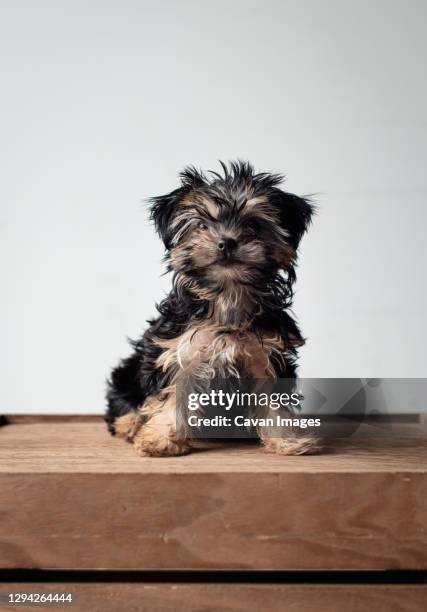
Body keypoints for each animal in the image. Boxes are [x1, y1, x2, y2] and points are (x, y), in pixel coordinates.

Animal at [107, 160, 320, 456]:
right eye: (201, 225)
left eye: (253, 225)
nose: (226, 242)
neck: (227, 297)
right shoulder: (178, 352)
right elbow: (172, 395)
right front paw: (161, 439)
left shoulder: (268, 355)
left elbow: (274, 399)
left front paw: (287, 440)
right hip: (129, 369)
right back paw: (129, 424)